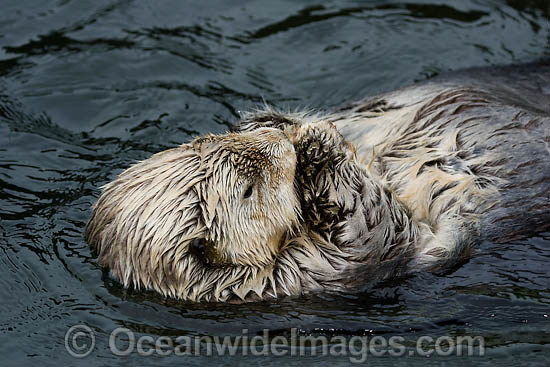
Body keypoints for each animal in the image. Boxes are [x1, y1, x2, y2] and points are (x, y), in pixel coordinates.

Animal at [84, 61, 548, 302]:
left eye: (209, 139)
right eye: (247, 188)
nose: (278, 143)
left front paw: (278, 123)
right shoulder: (326, 267)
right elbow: (369, 221)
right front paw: (318, 150)